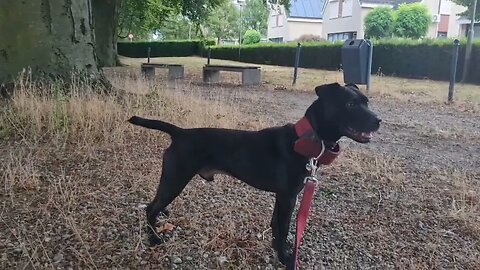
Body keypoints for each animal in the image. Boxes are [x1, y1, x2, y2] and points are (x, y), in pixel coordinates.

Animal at [126, 83, 378, 268]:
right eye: (351, 104)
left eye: (366, 101)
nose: (379, 121)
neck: (305, 140)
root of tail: (180, 133)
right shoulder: (288, 197)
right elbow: (284, 228)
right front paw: (286, 259)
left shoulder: (282, 197)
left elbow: (276, 225)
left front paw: (277, 250)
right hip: (176, 179)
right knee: (151, 207)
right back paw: (153, 238)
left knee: (157, 204)